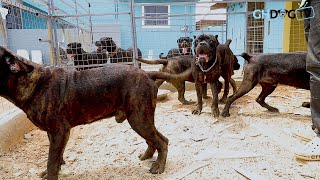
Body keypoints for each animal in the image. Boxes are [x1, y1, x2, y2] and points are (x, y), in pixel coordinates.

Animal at [0, 46, 169, 180]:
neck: (31, 82)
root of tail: (147, 74)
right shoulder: (53, 134)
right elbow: (58, 157)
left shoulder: (59, 132)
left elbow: (51, 161)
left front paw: (51, 175)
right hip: (140, 119)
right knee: (152, 140)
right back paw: (147, 156)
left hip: (139, 119)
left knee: (162, 141)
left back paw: (158, 166)